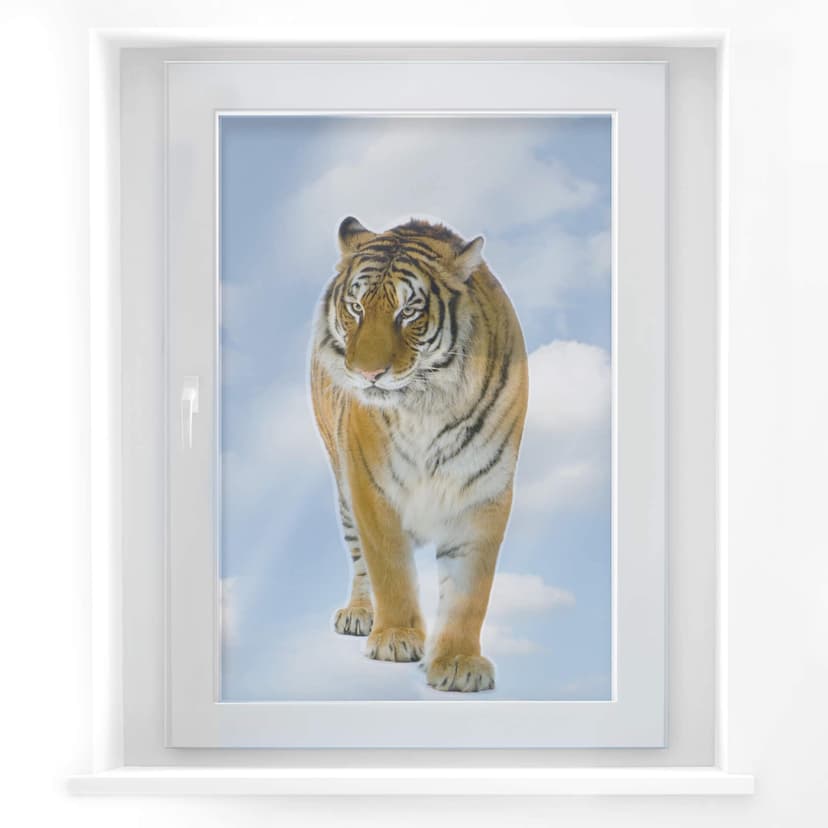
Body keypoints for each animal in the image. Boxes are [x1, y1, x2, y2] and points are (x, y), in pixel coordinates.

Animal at [310, 217, 528, 692]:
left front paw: (460, 662)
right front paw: (395, 637)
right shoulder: (370, 486)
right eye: (356, 307)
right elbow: (389, 568)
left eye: (408, 312)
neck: (428, 403)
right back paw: (359, 614)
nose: (368, 374)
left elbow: (469, 590)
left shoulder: (484, 490)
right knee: (359, 556)